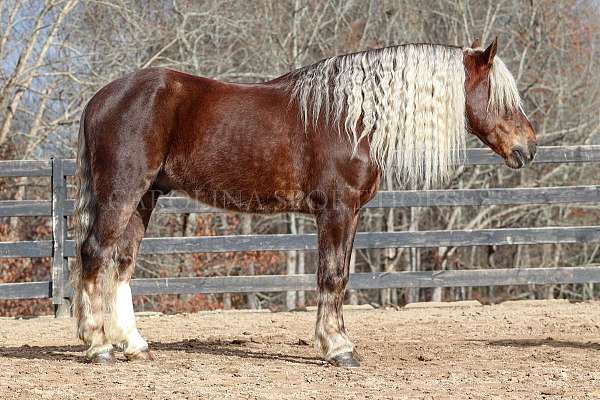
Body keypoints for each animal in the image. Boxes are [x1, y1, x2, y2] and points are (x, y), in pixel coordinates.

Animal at [71, 39, 540, 368]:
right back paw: (98, 347)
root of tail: (101, 98)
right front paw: (338, 348)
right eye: (500, 97)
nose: (528, 147)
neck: (352, 118)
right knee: (95, 253)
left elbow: (340, 276)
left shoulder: (350, 215)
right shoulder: (336, 210)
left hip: (145, 198)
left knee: (122, 262)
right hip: (122, 193)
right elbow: (332, 276)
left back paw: (134, 345)